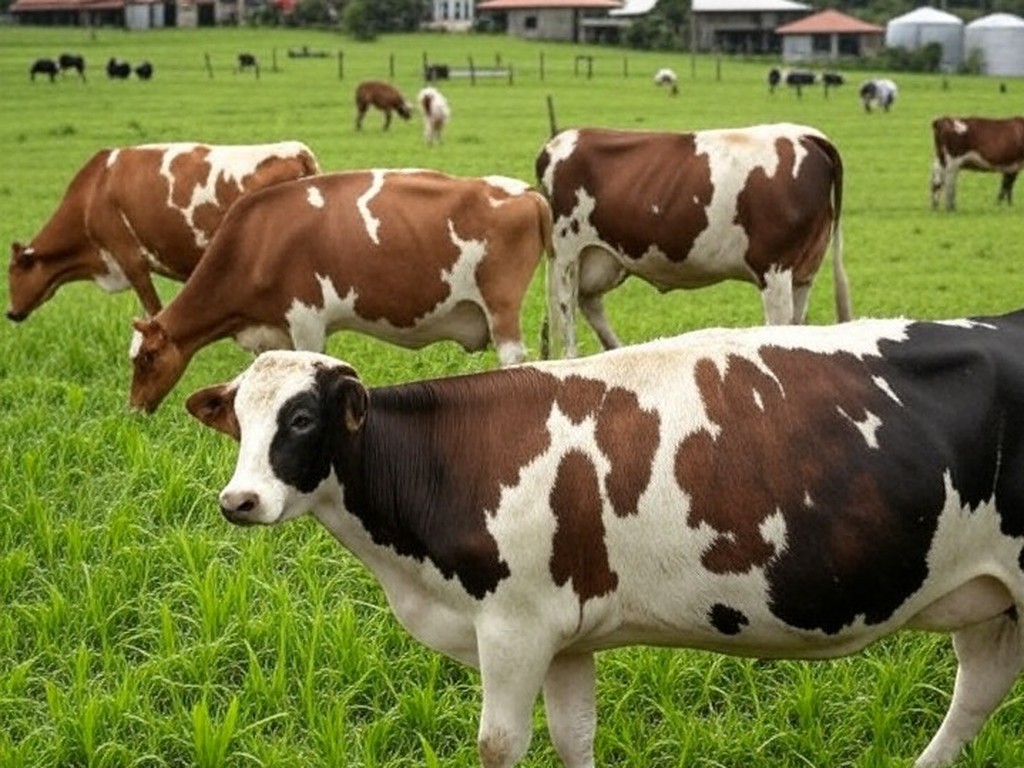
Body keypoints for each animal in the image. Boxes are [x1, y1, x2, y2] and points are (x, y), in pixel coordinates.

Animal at [128, 169, 556, 413]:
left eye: (147, 358)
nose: (133, 410)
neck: (256, 240)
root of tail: (527, 192)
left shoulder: (306, 319)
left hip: (501, 308)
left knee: (514, 358)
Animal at [187, 307, 1024, 768]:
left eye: (302, 419)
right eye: (239, 420)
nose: (239, 500)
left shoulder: (514, 627)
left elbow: (499, 746)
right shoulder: (567, 636)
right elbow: (574, 739)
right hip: (992, 603)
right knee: (977, 694)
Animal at [535, 124, 851, 358]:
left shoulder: (796, 273)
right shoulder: (775, 269)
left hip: (595, 258)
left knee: (584, 304)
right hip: (567, 254)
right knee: (569, 315)